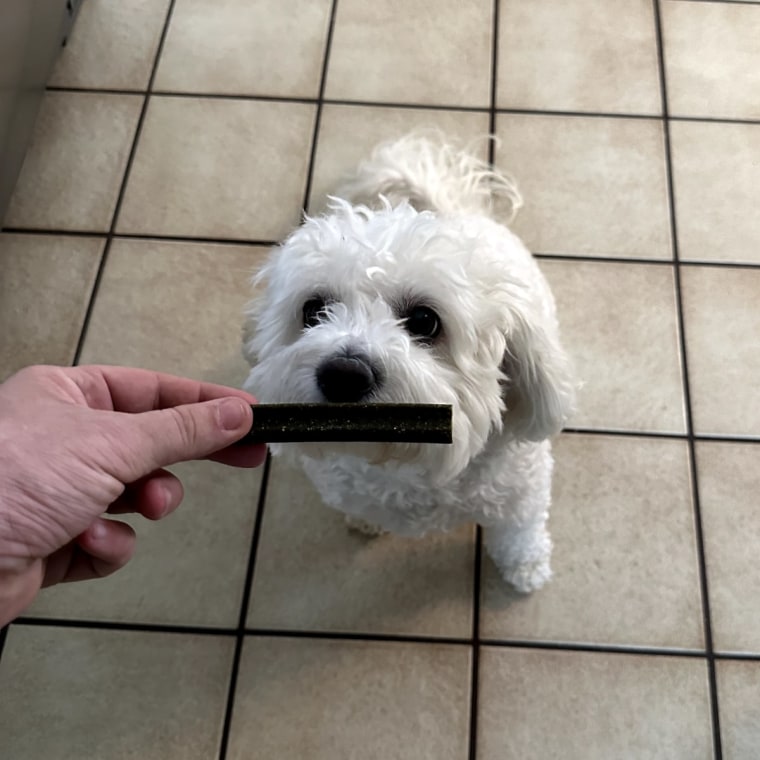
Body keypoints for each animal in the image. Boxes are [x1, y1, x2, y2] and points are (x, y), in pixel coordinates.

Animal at [245, 134, 576, 592]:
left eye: (424, 320)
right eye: (314, 311)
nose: (343, 374)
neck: (409, 465)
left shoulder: (521, 496)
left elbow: (520, 532)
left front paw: (525, 568)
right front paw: (366, 521)